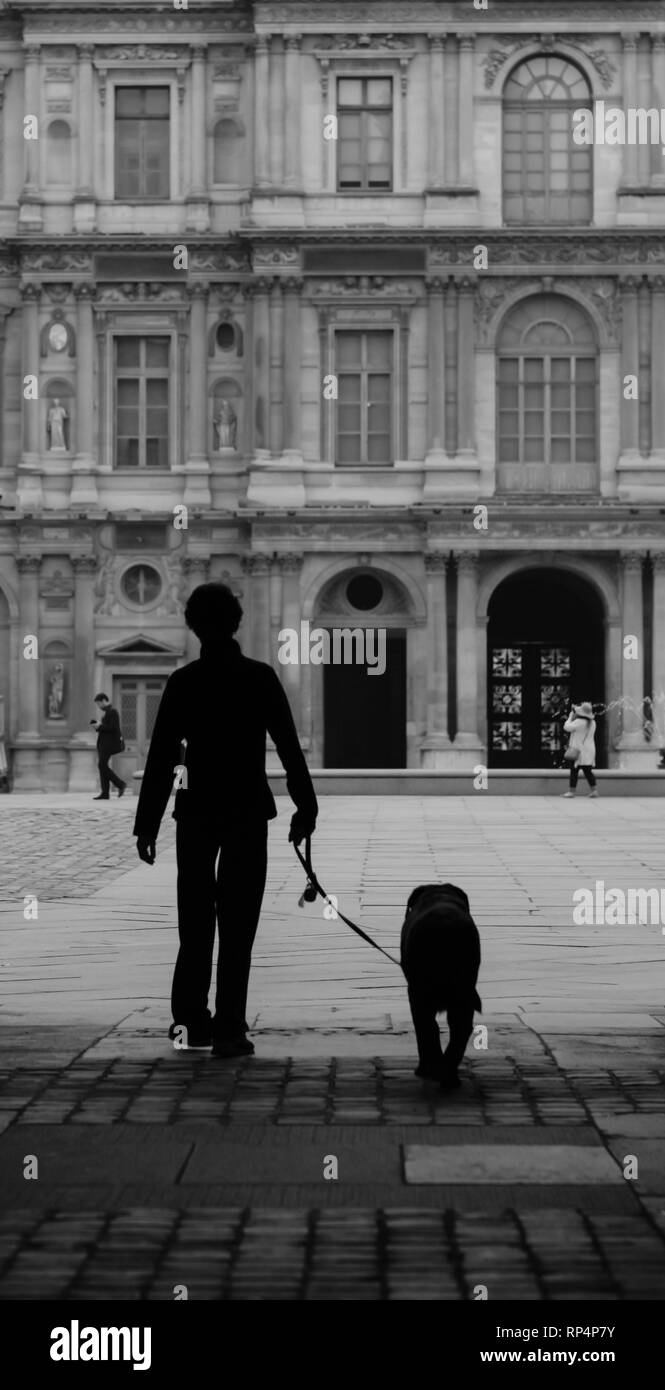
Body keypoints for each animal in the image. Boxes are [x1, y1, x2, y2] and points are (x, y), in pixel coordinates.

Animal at [400, 884, 478, 1089]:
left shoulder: (414, 993)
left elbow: (424, 1027)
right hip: (465, 989)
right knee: (460, 1026)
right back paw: (449, 1076)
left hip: (420, 989)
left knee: (428, 1027)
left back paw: (434, 1070)